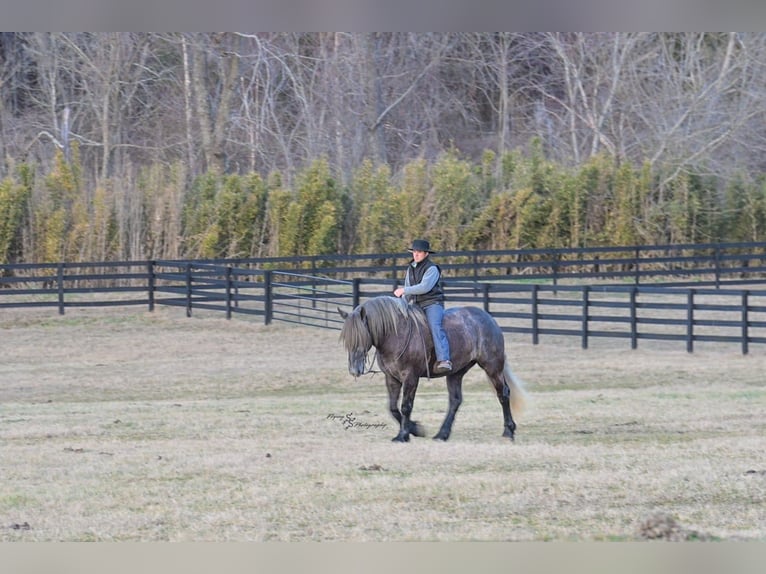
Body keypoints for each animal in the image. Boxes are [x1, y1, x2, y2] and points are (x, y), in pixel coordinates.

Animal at [338, 296, 526, 442]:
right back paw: (442, 434)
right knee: (455, 401)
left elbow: (406, 406)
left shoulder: (410, 377)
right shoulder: (392, 378)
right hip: (456, 373)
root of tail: (489, 319)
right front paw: (415, 429)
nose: (354, 369)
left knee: (503, 394)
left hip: (492, 367)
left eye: (361, 336)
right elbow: (393, 408)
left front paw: (404, 435)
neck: (396, 334)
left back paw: (508, 431)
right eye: (346, 339)